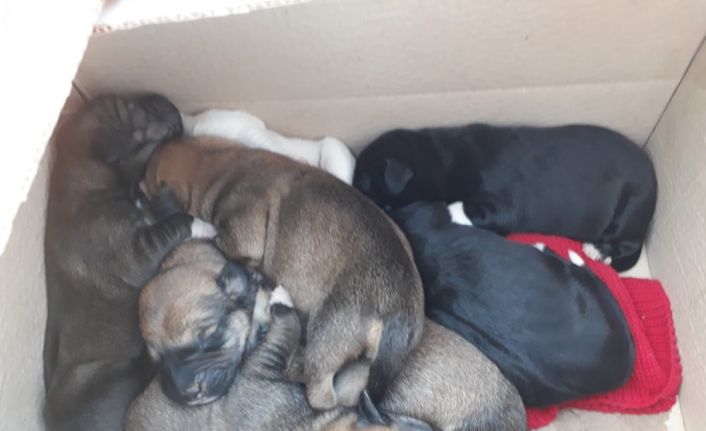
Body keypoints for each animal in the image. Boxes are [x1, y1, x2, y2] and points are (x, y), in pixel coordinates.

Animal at [42, 94, 215, 431]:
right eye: (134, 110)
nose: (163, 99)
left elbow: (162, 210)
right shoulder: (137, 251)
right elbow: (177, 223)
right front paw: (206, 226)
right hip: (118, 377)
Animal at [138, 136, 424, 409]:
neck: (213, 164)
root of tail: (398, 310)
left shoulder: (240, 239)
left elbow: (222, 242)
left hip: (327, 333)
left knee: (321, 394)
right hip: (364, 363)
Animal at [353, 124, 657, 271]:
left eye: (364, 183)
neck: (437, 159)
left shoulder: (502, 204)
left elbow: (464, 207)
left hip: (631, 208)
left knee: (628, 244)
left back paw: (598, 250)